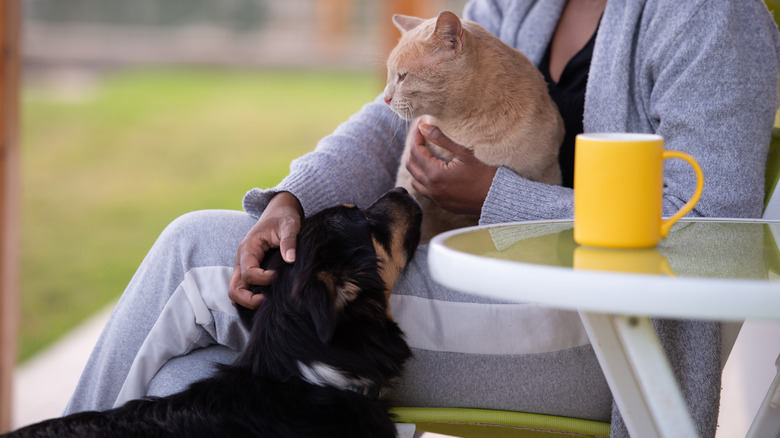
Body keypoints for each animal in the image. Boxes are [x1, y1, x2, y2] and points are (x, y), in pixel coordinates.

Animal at [382, 11, 560, 243]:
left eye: (403, 76)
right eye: (389, 75)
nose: (385, 98)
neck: (464, 128)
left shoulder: (548, 176)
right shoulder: (408, 178)